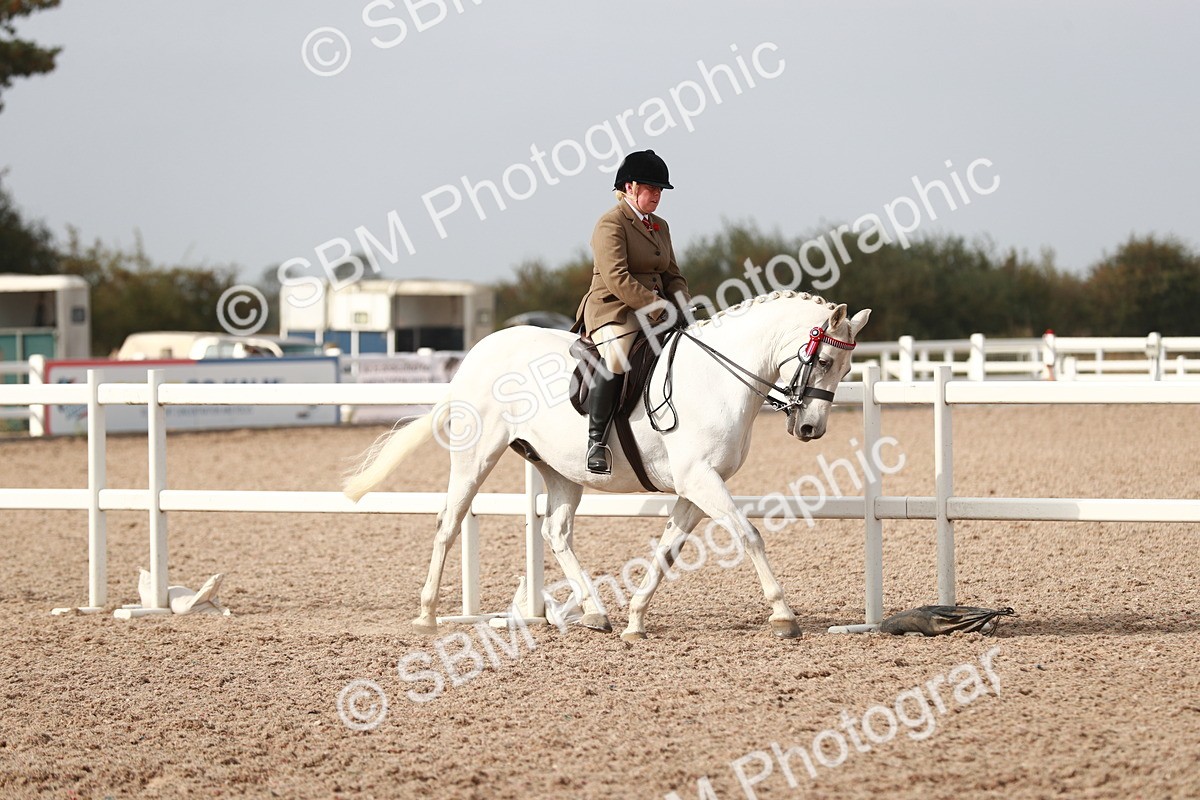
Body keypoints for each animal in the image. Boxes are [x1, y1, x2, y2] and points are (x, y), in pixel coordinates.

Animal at [344, 290, 870, 640]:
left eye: (847, 368)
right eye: (825, 361)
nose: (811, 429)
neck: (718, 378)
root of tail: (478, 353)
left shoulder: (695, 488)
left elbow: (667, 551)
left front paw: (635, 619)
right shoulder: (701, 480)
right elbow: (749, 535)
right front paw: (784, 616)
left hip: (560, 470)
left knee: (556, 533)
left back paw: (596, 613)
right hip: (476, 457)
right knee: (449, 523)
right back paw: (428, 615)